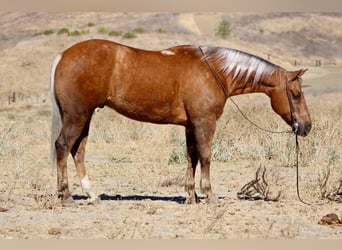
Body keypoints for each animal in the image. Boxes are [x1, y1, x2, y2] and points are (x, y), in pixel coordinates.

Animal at [51, 38, 312, 203]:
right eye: (296, 94)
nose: (306, 126)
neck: (215, 71)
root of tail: (63, 56)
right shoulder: (205, 123)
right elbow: (205, 157)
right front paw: (209, 195)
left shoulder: (190, 125)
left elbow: (191, 158)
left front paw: (191, 196)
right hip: (77, 116)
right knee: (63, 146)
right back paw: (65, 195)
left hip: (84, 117)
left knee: (78, 151)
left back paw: (91, 195)